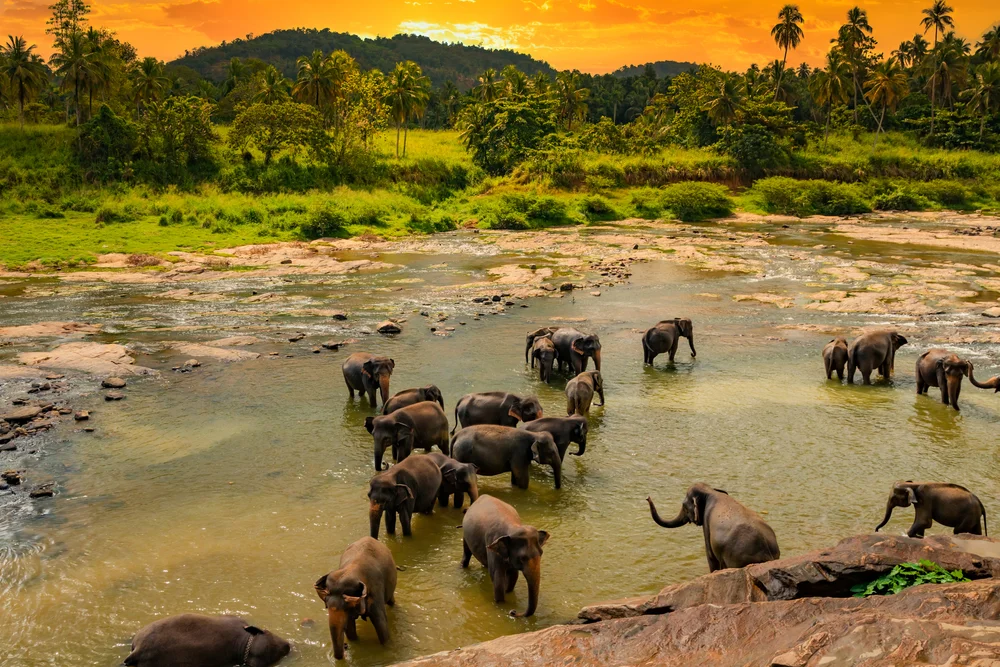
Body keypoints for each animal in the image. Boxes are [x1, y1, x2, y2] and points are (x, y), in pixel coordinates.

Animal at [647, 483, 780, 572]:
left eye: (684, 506)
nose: (648, 497)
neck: (710, 491)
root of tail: (766, 551)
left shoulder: (707, 522)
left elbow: (710, 556)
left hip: (737, 559)